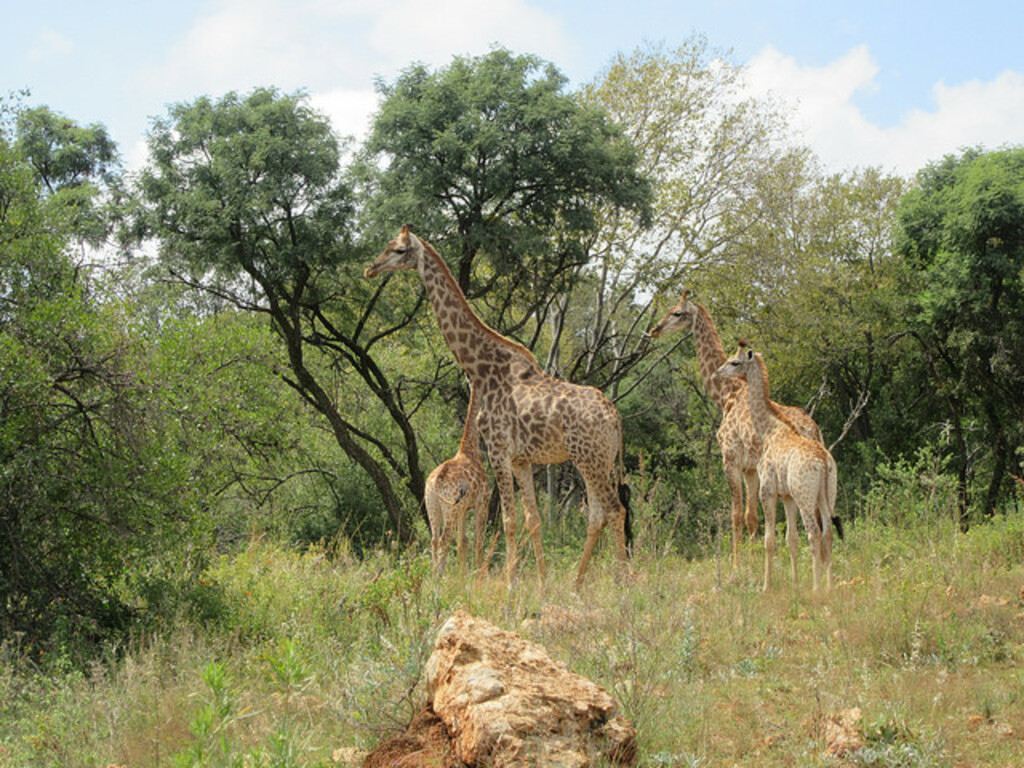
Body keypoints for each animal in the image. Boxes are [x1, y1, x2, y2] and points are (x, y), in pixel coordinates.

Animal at [424, 383, 491, 576]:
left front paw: (463, 578)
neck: (470, 448)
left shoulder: (463, 509)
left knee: (434, 539)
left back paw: (433, 575)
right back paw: (439, 576)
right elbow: (478, 541)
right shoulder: (482, 502)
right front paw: (480, 575)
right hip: (450, 509)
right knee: (444, 539)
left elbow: (463, 543)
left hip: (432, 507)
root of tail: (435, 483)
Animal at [648, 290, 823, 571]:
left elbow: (736, 515)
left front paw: (737, 566)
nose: (654, 330)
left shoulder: (730, 460)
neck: (727, 395)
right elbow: (752, 516)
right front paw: (752, 562)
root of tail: (813, 432)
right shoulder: (750, 468)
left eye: (677, 312)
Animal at [714, 341, 836, 591]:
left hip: (805, 496)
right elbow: (791, 538)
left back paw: (816, 589)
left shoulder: (767, 490)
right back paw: (829, 587)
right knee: (828, 534)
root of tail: (823, 459)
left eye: (735, 362)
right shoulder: (786, 495)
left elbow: (769, 540)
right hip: (827, 494)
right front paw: (795, 584)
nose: (717, 373)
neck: (769, 430)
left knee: (814, 533)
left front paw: (766, 586)